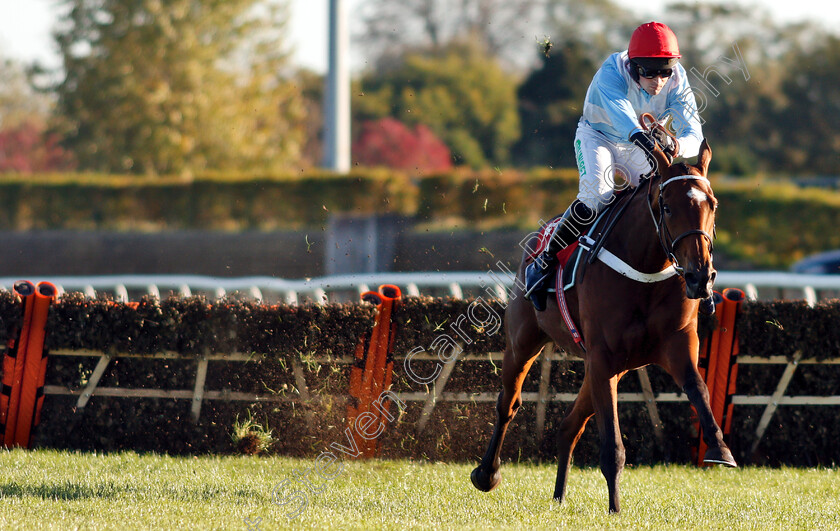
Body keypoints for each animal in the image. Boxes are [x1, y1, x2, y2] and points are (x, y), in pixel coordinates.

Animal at [472, 141, 736, 516]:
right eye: (667, 207)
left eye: (712, 205)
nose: (701, 276)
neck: (645, 268)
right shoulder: (603, 356)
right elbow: (612, 445)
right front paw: (615, 509)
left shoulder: (676, 344)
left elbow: (698, 387)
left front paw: (719, 448)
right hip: (524, 340)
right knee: (508, 402)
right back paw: (486, 474)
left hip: (610, 366)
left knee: (569, 426)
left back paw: (558, 495)